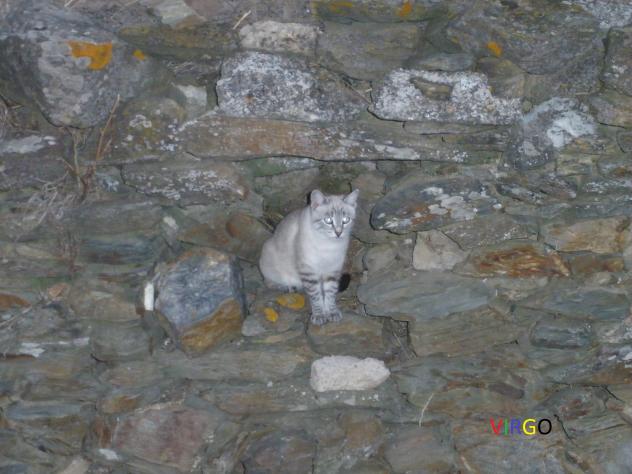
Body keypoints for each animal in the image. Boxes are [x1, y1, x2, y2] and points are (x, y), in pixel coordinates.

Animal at [259, 189, 359, 325]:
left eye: (345, 219)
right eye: (328, 220)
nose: (338, 233)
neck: (329, 245)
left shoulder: (332, 270)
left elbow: (330, 294)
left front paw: (331, 312)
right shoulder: (309, 271)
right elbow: (316, 296)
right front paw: (319, 315)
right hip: (269, 258)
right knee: (269, 282)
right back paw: (288, 287)